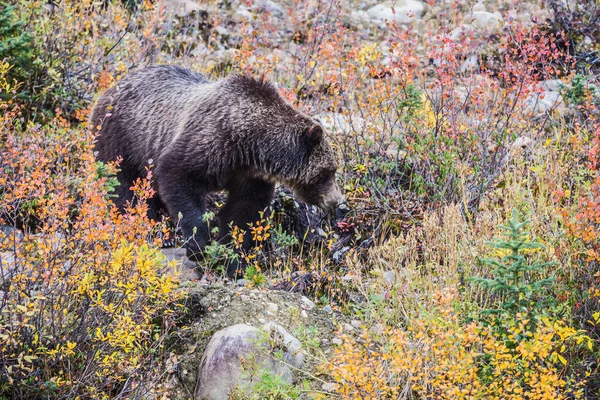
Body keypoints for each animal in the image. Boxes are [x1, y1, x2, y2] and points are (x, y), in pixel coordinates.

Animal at [89, 65, 342, 276]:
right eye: (328, 172)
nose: (337, 200)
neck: (250, 144)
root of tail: (108, 89)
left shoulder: (248, 175)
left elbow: (243, 211)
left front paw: (233, 258)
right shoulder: (209, 141)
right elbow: (178, 178)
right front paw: (200, 245)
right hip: (120, 139)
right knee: (125, 187)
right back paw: (150, 228)